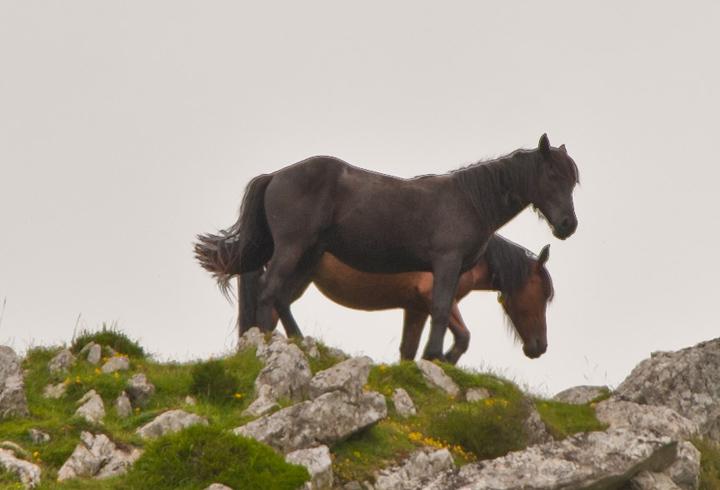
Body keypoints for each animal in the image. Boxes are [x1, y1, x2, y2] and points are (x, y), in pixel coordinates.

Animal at [239, 235, 556, 366]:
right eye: (543, 293)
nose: (540, 346)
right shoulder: (436, 299)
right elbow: (464, 337)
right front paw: (444, 359)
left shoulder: (416, 308)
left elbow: (408, 350)